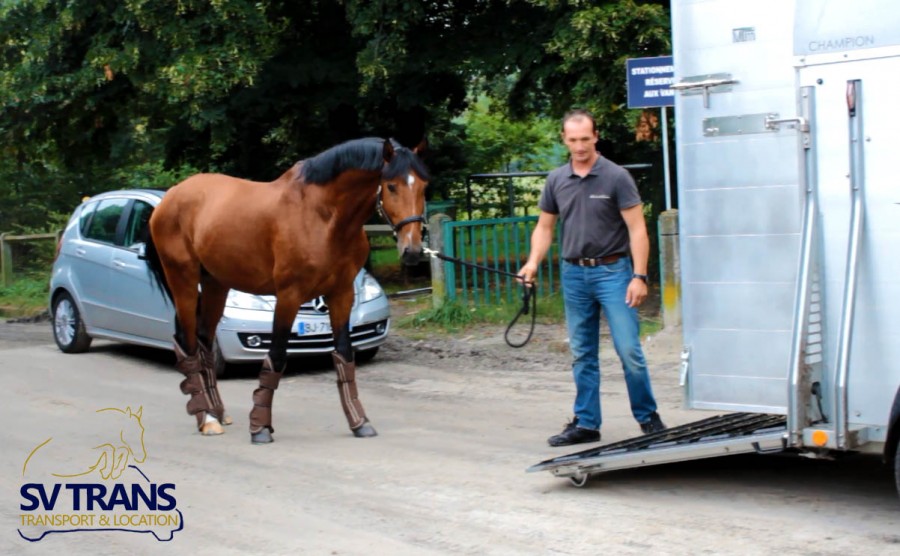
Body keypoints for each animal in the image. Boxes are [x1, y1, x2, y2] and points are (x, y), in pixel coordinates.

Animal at [143, 138, 428, 444]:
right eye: (391, 186)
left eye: (424, 185)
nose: (412, 251)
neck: (324, 218)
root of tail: (169, 198)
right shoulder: (289, 295)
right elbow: (277, 355)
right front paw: (260, 428)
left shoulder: (341, 294)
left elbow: (344, 354)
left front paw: (359, 422)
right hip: (182, 279)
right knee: (188, 345)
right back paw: (206, 419)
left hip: (215, 284)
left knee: (205, 343)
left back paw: (217, 413)